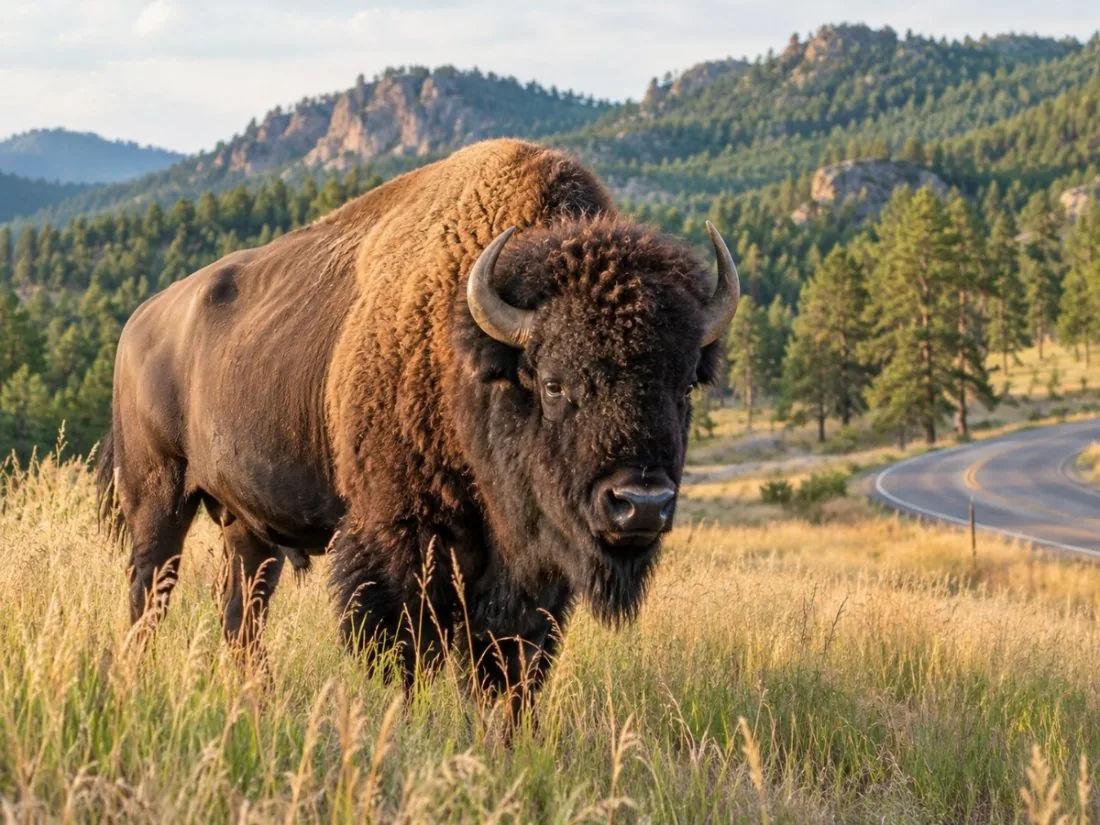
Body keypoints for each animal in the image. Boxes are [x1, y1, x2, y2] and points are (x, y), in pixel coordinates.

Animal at [97, 138, 738, 720]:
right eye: (554, 383)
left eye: (685, 385)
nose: (641, 503)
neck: (469, 353)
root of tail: (139, 324)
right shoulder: (402, 539)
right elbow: (408, 650)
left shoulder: (530, 570)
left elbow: (510, 662)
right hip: (157, 495)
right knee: (149, 590)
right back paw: (136, 683)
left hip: (247, 525)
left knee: (241, 609)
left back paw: (256, 701)